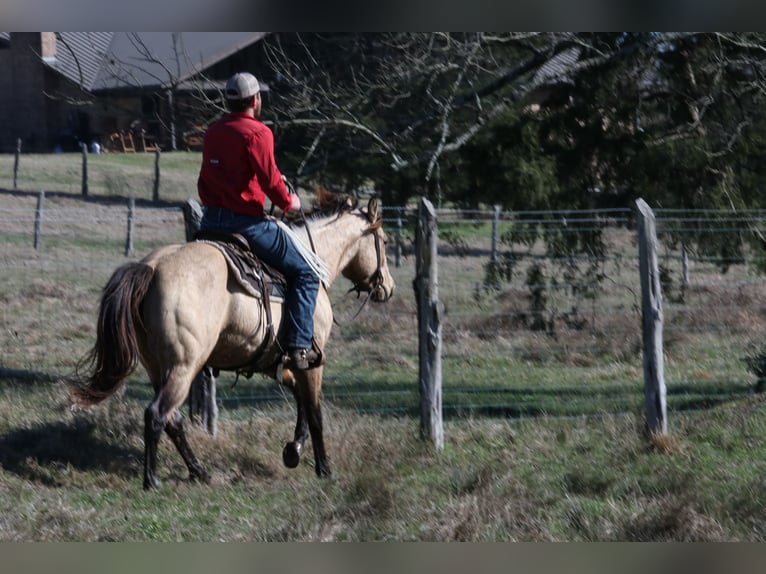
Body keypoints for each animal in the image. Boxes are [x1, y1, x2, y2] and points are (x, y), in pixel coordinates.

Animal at [70, 189, 396, 490]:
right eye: (385, 241)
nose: (388, 288)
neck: (314, 262)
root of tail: (151, 268)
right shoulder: (312, 359)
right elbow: (315, 412)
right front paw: (324, 467)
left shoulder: (283, 362)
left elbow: (301, 402)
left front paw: (293, 450)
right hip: (183, 366)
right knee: (157, 415)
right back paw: (152, 481)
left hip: (156, 367)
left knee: (173, 420)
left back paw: (199, 471)